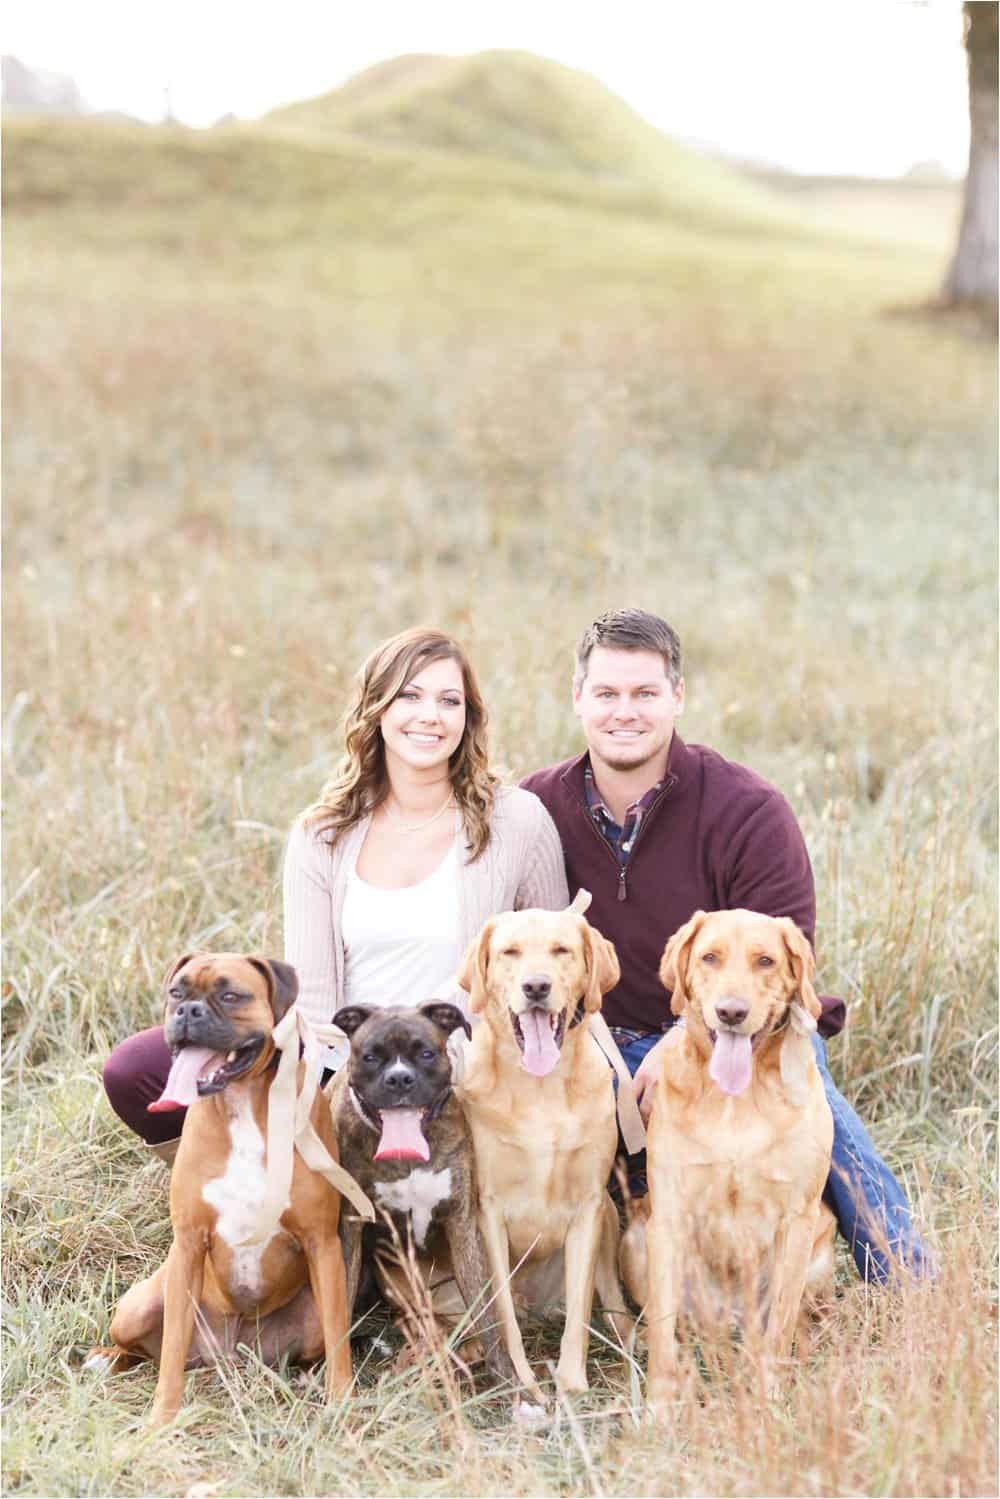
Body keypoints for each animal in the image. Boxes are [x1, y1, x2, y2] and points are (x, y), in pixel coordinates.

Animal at [85, 953, 355, 1421]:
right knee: (141, 1348)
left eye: (231, 996)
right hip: (140, 1305)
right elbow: (171, 1351)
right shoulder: (189, 1245)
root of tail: (229, 1351)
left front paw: (342, 1405)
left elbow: (340, 1340)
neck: (241, 1101)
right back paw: (106, 1358)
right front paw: (163, 1419)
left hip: (311, 1315)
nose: (188, 1012)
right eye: (177, 992)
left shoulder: (322, 1244)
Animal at [329, 1001, 515, 1385]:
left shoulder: (462, 1226)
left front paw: (511, 1383)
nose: (399, 1078)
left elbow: (487, 1315)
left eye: (426, 1053)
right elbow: (342, 1296)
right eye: (370, 1057)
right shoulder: (351, 1228)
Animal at [455, 899, 629, 1403]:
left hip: (611, 1217)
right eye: (510, 952)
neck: (540, 1087)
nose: (536, 986)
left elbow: (579, 1312)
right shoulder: (487, 1211)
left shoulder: (589, 1207)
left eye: (561, 950)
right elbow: (504, 1320)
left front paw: (571, 1383)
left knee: (615, 1308)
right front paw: (523, 1381)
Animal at [629, 905, 839, 1409]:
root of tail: (727, 1321)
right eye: (710, 957)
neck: (736, 1099)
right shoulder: (669, 1216)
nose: (730, 1012)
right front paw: (659, 1406)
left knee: (794, 1323)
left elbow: (779, 1324)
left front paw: (768, 1399)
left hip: (820, 1247)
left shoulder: (797, 1219)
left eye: (765, 961)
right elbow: (663, 1338)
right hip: (638, 1240)